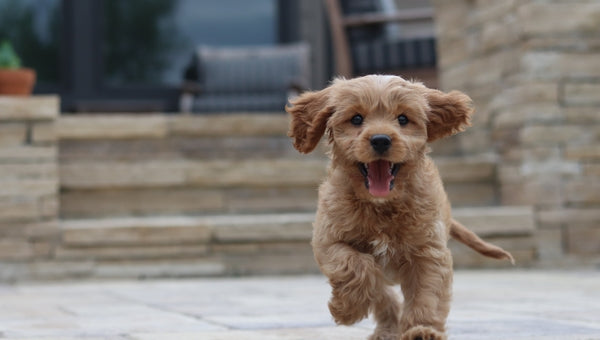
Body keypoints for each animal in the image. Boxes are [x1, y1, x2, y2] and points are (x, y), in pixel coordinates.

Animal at [288, 75, 512, 340]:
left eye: (403, 119)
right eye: (356, 119)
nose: (381, 139)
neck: (382, 205)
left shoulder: (428, 252)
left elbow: (427, 294)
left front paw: (422, 329)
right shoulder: (329, 240)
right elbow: (355, 265)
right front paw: (347, 310)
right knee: (381, 291)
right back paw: (385, 329)